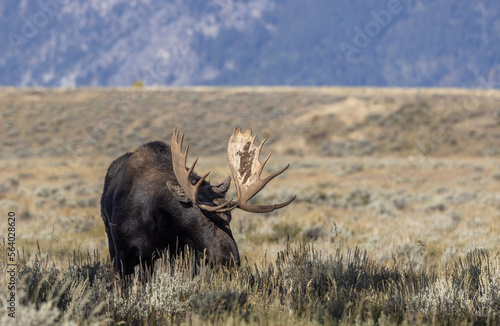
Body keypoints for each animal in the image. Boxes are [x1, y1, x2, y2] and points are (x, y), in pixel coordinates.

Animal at [101, 128, 294, 276]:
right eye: (206, 217)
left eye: (229, 217)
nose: (229, 260)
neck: (160, 220)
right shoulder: (126, 255)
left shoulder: (179, 256)